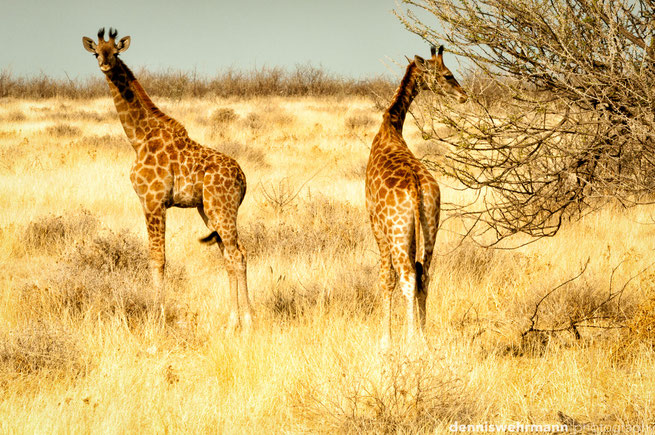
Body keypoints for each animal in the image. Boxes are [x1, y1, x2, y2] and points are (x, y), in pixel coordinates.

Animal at [81, 29, 254, 330]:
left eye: (115, 52)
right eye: (96, 53)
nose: (104, 64)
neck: (138, 138)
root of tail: (243, 179)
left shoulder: (153, 201)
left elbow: (157, 259)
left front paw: (156, 316)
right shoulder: (150, 203)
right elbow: (156, 257)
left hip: (221, 209)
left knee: (236, 255)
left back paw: (246, 322)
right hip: (210, 211)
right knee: (232, 254)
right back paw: (233, 319)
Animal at [366, 45, 468, 348]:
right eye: (447, 75)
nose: (464, 96)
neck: (391, 127)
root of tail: (417, 188)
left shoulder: (375, 224)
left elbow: (385, 278)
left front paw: (386, 340)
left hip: (399, 231)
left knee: (409, 276)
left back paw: (411, 340)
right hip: (432, 223)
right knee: (426, 273)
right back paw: (422, 336)